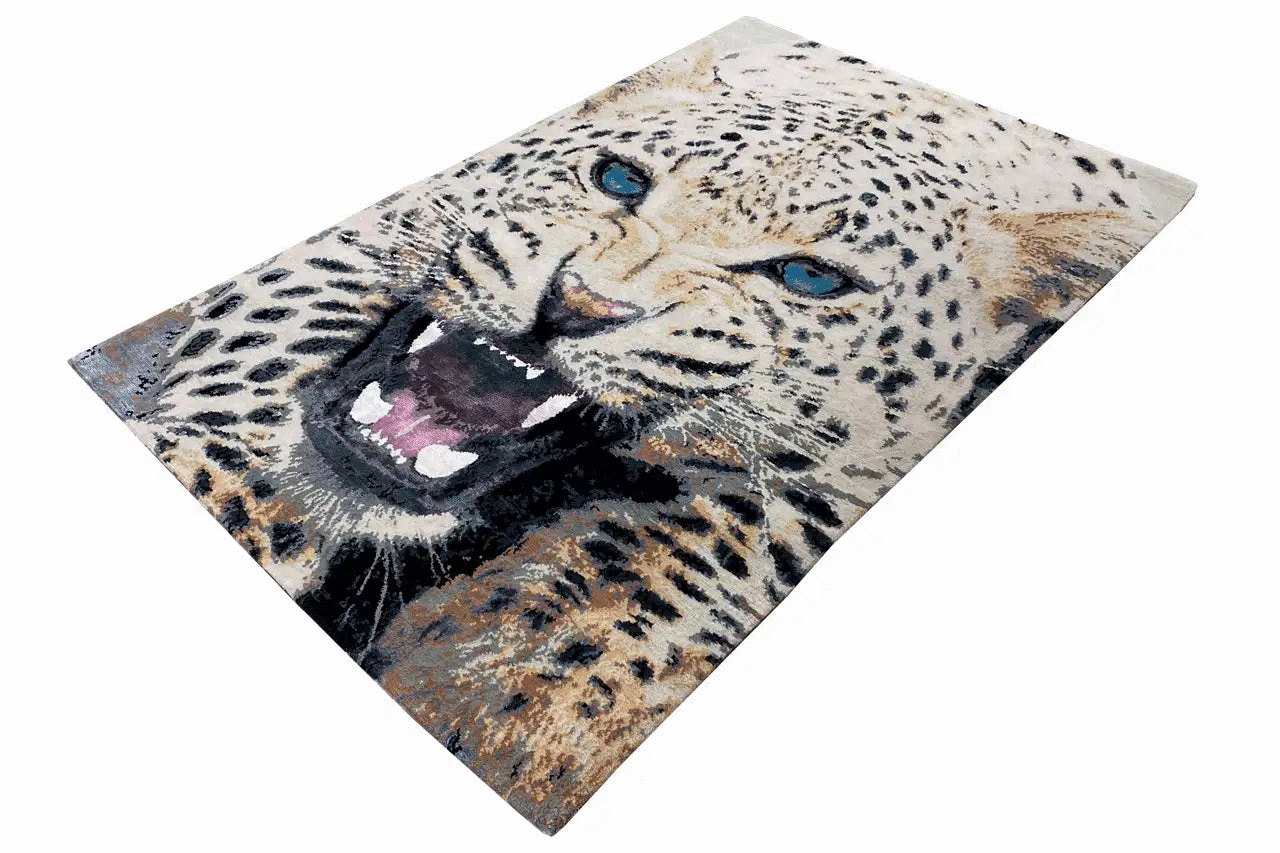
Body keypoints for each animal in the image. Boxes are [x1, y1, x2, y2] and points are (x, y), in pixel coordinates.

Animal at [73, 21, 1192, 833]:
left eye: (806, 277)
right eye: (618, 179)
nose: (581, 304)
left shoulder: (860, 472)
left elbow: (727, 533)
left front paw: (524, 690)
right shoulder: (380, 231)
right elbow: (270, 371)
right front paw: (215, 475)